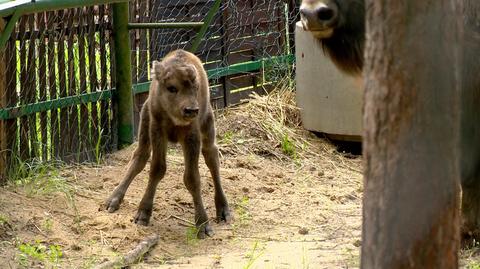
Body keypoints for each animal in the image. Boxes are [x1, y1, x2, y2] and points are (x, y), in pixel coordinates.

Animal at [105, 49, 232, 238]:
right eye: (172, 88)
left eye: (195, 88)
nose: (191, 110)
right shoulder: (156, 130)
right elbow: (157, 169)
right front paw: (143, 214)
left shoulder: (192, 136)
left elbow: (192, 178)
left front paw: (203, 224)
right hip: (145, 125)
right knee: (139, 157)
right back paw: (113, 200)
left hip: (208, 126)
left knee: (212, 159)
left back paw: (223, 210)